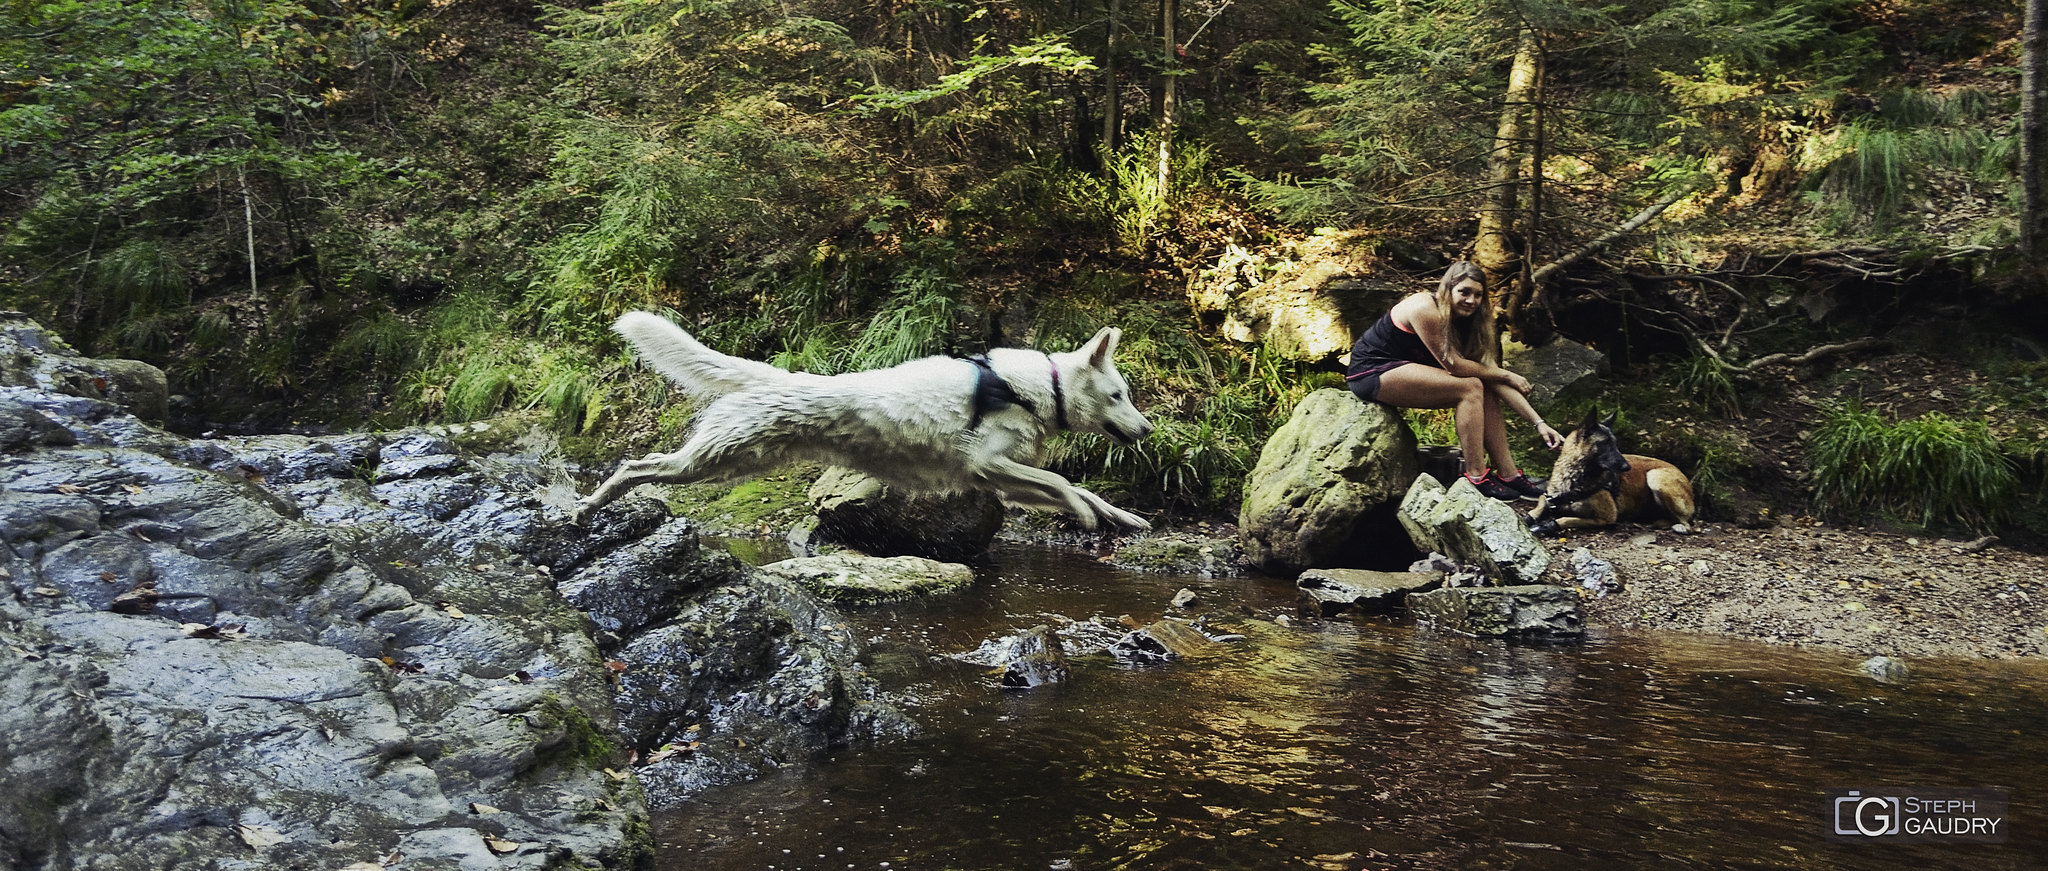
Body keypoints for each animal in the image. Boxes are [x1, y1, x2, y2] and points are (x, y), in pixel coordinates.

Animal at [573, 311, 1155, 528]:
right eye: (1119, 395)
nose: (1149, 430)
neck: (1033, 390)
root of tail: (766, 376)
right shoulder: (988, 465)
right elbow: (1063, 482)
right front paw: (1085, 516)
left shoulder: (1004, 482)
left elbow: (1076, 487)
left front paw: (1121, 517)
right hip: (713, 460)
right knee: (636, 465)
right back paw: (589, 505)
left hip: (733, 462)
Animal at [1531, 409, 1703, 532]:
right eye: (1605, 443)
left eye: (1615, 443)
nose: (1627, 467)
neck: (1574, 476)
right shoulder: (1549, 497)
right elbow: (1540, 502)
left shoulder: (1607, 517)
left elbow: (1564, 519)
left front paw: (1547, 525)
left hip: (1655, 476)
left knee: (1687, 524)